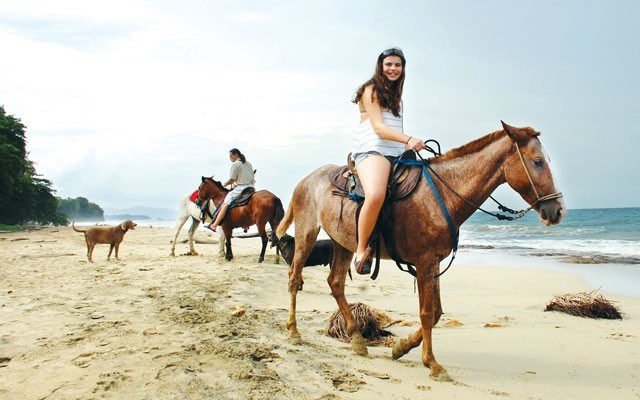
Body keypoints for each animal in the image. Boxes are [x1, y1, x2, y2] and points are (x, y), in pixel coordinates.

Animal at [276, 122, 564, 382]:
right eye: (538, 162)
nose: (558, 210)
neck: (444, 194)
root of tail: (305, 180)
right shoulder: (424, 263)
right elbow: (426, 313)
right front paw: (433, 364)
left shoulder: (433, 264)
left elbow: (435, 313)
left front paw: (400, 348)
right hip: (307, 233)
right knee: (295, 278)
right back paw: (293, 331)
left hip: (343, 244)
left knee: (335, 283)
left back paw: (357, 340)